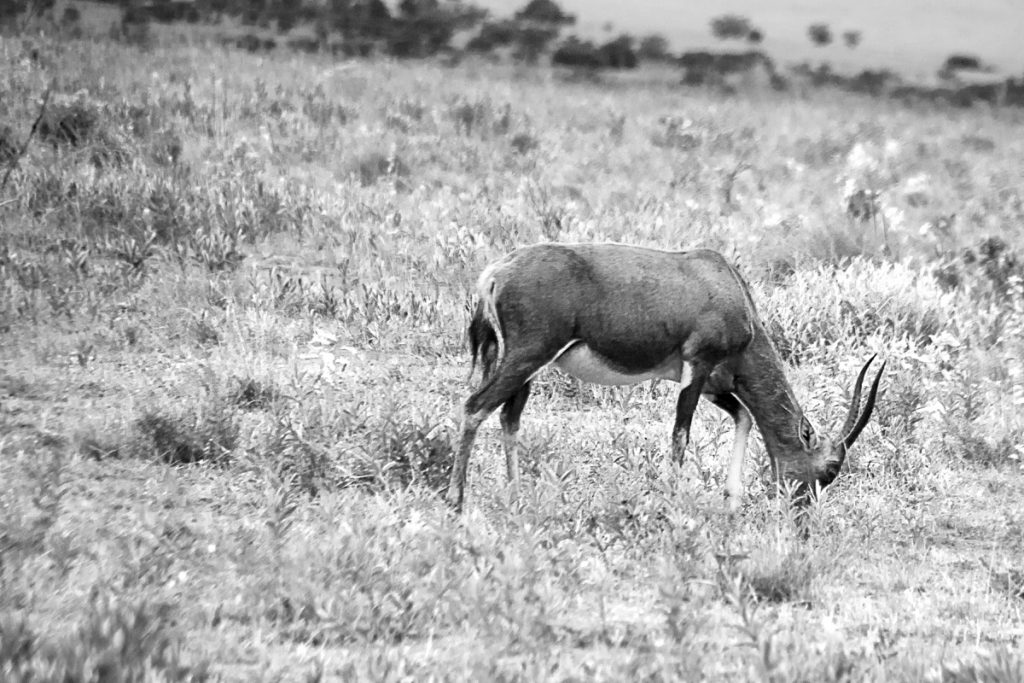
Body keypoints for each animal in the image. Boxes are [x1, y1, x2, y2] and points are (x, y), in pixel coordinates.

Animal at [444, 242, 884, 509]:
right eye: (830, 469)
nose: (802, 515)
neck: (724, 282)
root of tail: (496, 273)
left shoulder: (713, 384)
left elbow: (742, 416)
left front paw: (732, 500)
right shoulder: (698, 366)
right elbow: (680, 435)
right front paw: (673, 502)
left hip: (523, 364)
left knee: (508, 418)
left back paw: (517, 498)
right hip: (527, 356)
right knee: (475, 407)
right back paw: (457, 501)